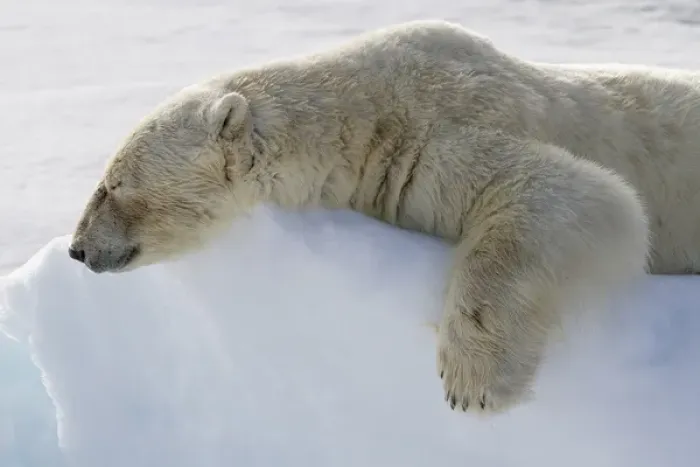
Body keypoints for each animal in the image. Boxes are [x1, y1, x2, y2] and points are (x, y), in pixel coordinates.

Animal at [68, 20, 660, 413]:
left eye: (112, 185)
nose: (76, 248)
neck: (366, 113)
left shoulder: (442, 131)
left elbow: (583, 192)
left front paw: (472, 380)